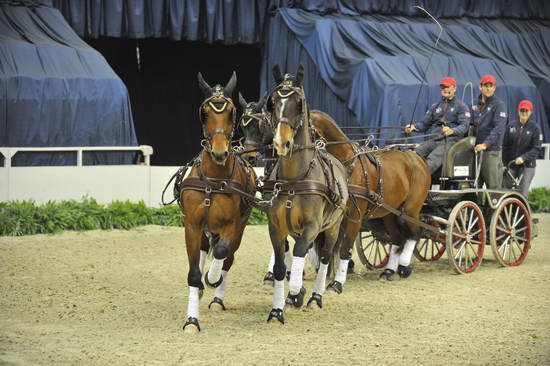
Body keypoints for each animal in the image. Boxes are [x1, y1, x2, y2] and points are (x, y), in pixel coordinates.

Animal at [181, 71, 258, 332]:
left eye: (230, 112)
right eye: (205, 113)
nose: (219, 152)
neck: (213, 180)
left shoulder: (232, 225)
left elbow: (223, 253)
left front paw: (212, 278)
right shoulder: (192, 226)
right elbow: (194, 273)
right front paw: (191, 321)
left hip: (239, 228)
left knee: (228, 257)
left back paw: (216, 297)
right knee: (205, 250)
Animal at [264, 65, 350, 324]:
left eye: (299, 102)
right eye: (273, 102)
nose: (281, 143)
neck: (295, 179)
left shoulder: (312, 226)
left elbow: (301, 253)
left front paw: (296, 293)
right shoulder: (276, 227)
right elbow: (281, 266)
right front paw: (277, 309)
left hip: (332, 227)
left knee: (325, 257)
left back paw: (315, 298)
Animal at [312, 108, 434, 286]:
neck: (346, 164)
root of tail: (417, 157)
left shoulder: (355, 216)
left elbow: (344, 247)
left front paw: (337, 282)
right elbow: (325, 247)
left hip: (410, 209)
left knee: (415, 234)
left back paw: (404, 267)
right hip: (389, 212)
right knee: (397, 239)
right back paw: (388, 271)